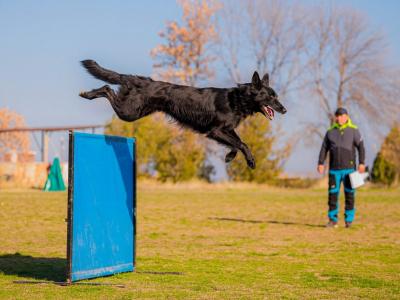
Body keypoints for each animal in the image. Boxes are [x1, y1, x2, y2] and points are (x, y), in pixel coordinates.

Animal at [79, 60, 286, 169]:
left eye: (276, 96)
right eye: (270, 97)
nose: (284, 109)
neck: (237, 99)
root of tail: (137, 79)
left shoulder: (226, 130)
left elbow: (238, 143)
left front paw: (229, 156)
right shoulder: (215, 131)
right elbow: (241, 143)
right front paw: (250, 161)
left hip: (135, 110)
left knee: (108, 89)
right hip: (129, 112)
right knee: (107, 89)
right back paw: (87, 94)